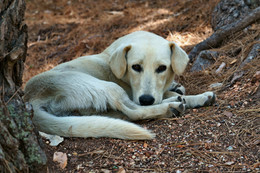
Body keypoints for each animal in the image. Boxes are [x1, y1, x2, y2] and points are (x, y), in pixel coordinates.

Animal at [24, 30, 215, 139]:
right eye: (135, 67)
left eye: (162, 68)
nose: (146, 99)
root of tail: (30, 98)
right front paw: (192, 96)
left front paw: (194, 95)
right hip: (105, 86)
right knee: (134, 112)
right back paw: (171, 106)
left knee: (124, 114)